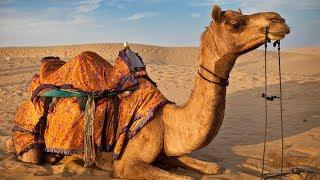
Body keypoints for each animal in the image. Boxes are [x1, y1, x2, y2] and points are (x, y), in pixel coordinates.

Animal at [18, 4, 290, 179]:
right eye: (235, 24)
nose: (280, 20)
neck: (168, 121)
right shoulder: (126, 165)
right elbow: (183, 178)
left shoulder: (165, 152)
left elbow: (215, 168)